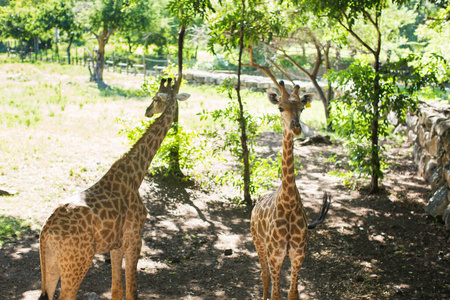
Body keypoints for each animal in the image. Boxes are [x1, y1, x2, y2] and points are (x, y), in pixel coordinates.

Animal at [39, 78, 192, 300]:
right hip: (77, 263)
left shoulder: (116, 245)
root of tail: (46, 232)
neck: (136, 175)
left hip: (51, 264)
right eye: (155, 97)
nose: (147, 111)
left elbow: (117, 289)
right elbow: (132, 291)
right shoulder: (134, 239)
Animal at [250, 80, 330, 300]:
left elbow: (293, 294)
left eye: (302, 108)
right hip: (258, 242)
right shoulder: (275, 255)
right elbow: (276, 295)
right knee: (264, 276)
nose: (296, 128)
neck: (288, 202)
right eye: (280, 107)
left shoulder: (298, 255)